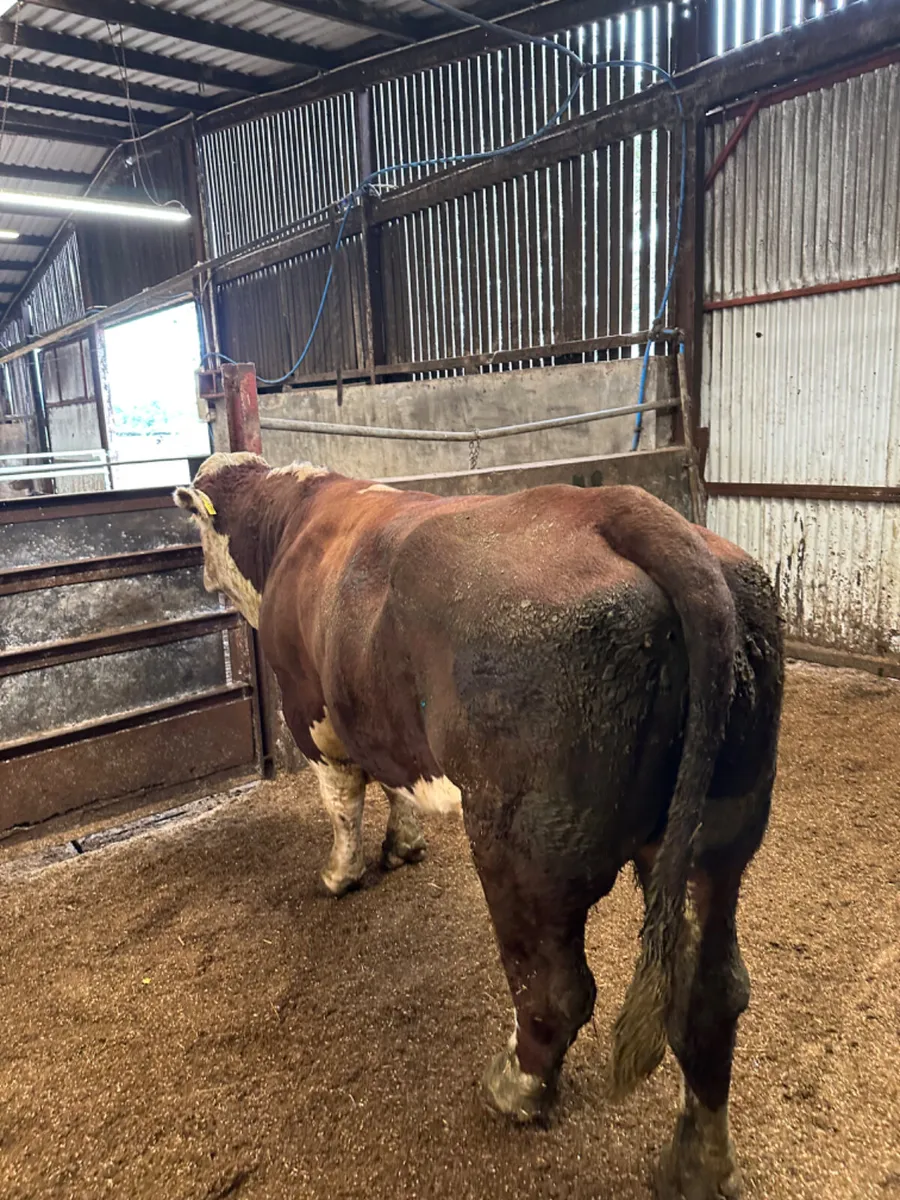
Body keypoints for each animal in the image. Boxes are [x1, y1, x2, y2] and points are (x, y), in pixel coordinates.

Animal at [175, 453, 783, 1200]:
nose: (200, 576)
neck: (294, 520)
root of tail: (622, 507)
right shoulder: (381, 716)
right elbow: (395, 781)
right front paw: (403, 845)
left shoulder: (312, 710)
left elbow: (344, 799)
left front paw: (340, 873)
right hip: (717, 837)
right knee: (711, 994)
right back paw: (700, 1161)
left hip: (519, 844)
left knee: (556, 989)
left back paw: (516, 1087)